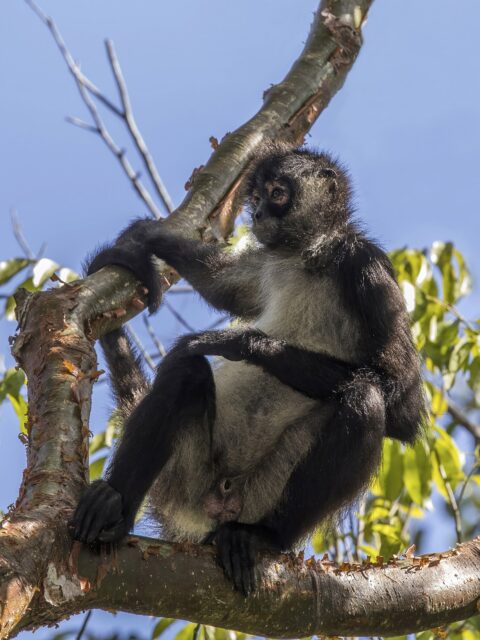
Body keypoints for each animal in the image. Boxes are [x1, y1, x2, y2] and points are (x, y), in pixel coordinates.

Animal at [71, 144, 425, 595]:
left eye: (277, 193)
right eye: (254, 197)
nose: (255, 214)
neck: (309, 257)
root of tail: (220, 499)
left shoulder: (366, 267)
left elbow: (404, 406)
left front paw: (238, 343)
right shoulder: (271, 261)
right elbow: (221, 287)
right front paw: (148, 234)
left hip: (263, 494)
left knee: (365, 397)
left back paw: (261, 537)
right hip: (188, 475)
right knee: (185, 374)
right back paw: (115, 507)